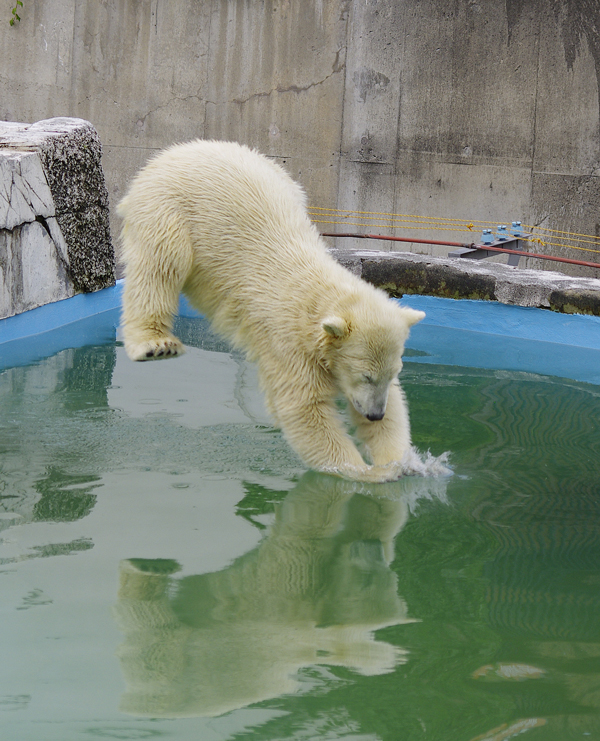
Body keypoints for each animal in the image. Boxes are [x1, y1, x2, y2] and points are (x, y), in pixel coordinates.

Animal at [117, 141, 424, 482]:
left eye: (391, 373)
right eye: (365, 375)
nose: (373, 415)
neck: (314, 291)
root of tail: (174, 151)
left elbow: (395, 405)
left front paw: (399, 461)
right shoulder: (288, 340)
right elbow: (304, 407)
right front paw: (365, 473)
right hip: (167, 207)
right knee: (161, 265)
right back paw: (155, 344)